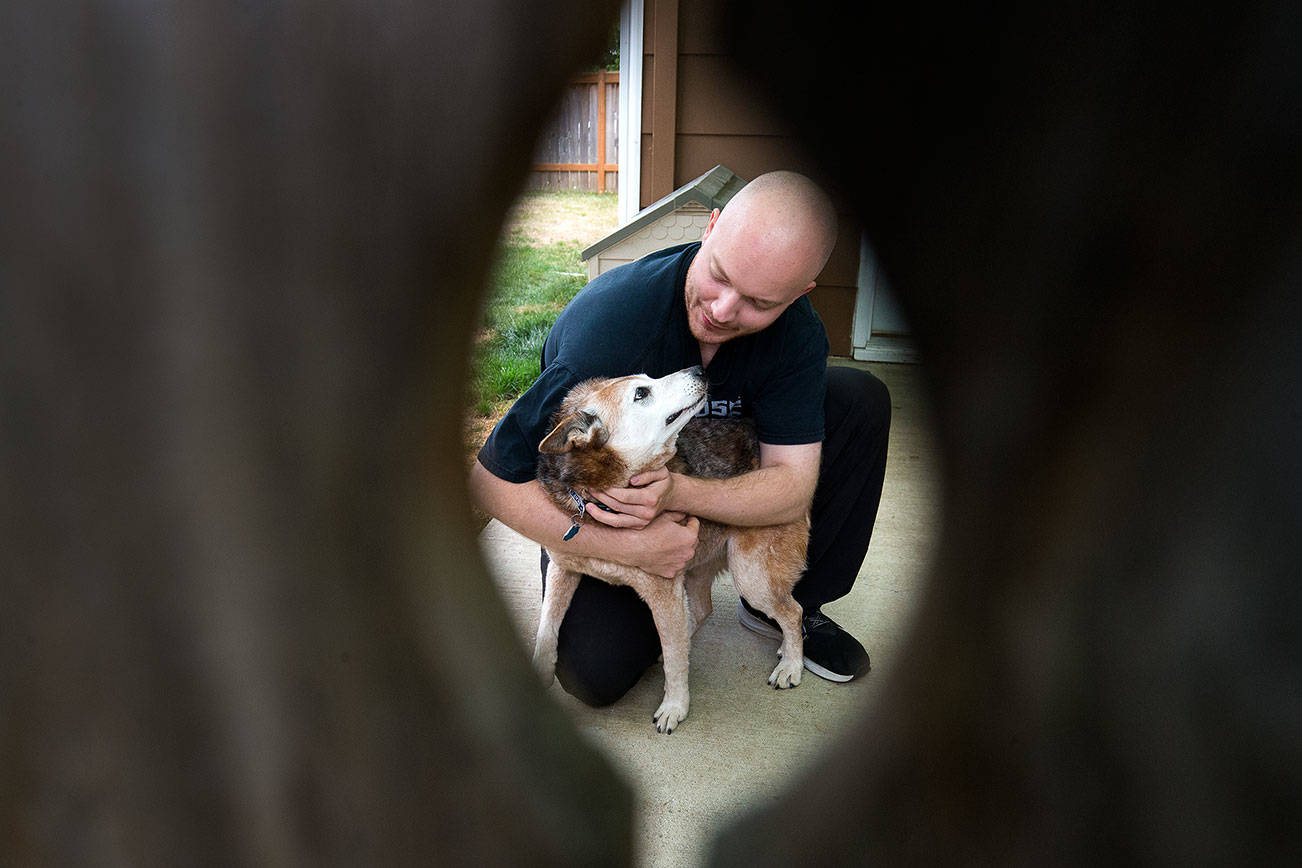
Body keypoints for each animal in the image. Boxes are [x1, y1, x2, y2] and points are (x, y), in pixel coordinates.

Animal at [526, 364, 807, 733]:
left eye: (646, 381)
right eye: (641, 393)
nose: (699, 369)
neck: (598, 495)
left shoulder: (663, 589)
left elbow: (675, 661)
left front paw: (675, 706)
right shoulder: (562, 569)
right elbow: (546, 630)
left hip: (751, 577)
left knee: (793, 613)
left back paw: (791, 665)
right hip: (699, 567)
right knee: (701, 610)